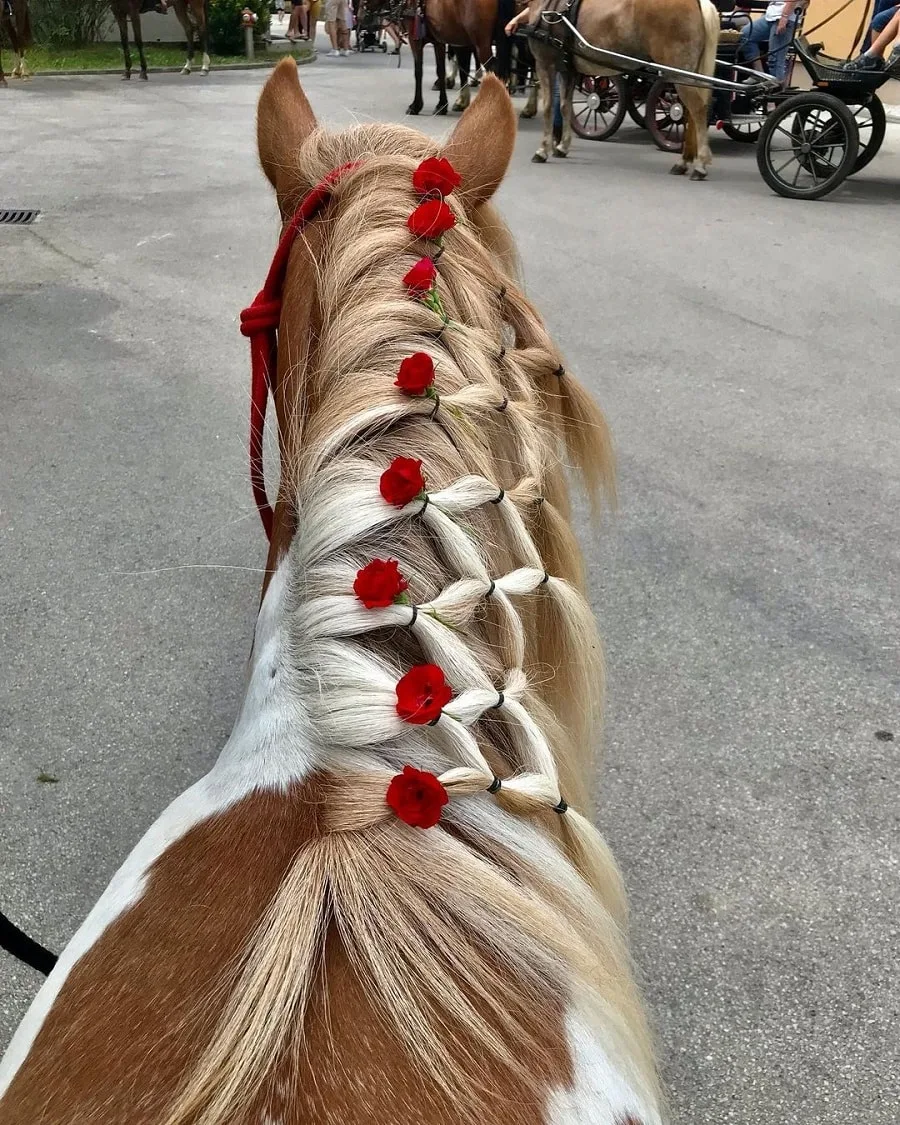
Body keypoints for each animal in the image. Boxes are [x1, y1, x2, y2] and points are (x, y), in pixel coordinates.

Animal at [519, 0, 715, 175]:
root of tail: (698, 3)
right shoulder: (568, 69)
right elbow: (564, 106)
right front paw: (562, 146)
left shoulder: (545, 64)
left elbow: (548, 108)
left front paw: (543, 150)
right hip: (687, 76)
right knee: (690, 114)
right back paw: (684, 161)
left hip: (678, 73)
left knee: (698, 110)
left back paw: (700, 164)